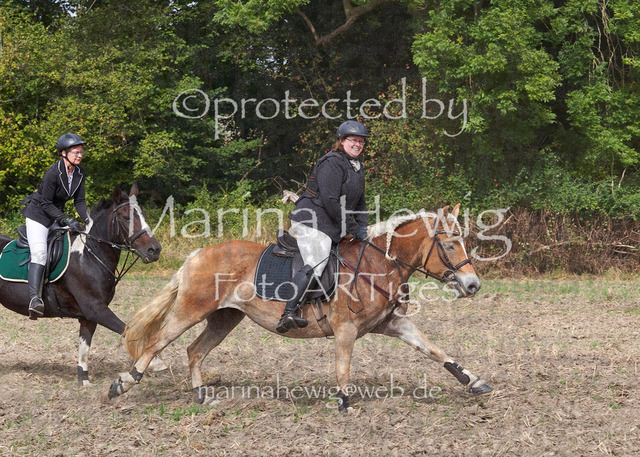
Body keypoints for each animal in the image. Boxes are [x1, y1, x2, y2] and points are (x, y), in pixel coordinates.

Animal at [0, 183, 163, 386]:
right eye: (126, 217)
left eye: (144, 215)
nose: (154, 250)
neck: (90, 255)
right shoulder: (96, 309)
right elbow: (127, 330)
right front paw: (155, 361)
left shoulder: (89, 316)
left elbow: (84, 346)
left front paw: (83, 380)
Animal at [109, 203, 492, 410]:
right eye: (451, 245)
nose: (473, 285)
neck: (378, 263)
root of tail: (197, 253)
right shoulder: (345, 330)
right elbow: (343, 368)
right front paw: (344, 404)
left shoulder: (393, 325)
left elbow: (435, 350)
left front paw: (474, 381)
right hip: (192, 310)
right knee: (157, 341)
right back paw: (124, 383)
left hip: (225, 318)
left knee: (194, 350)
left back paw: (202, 396)